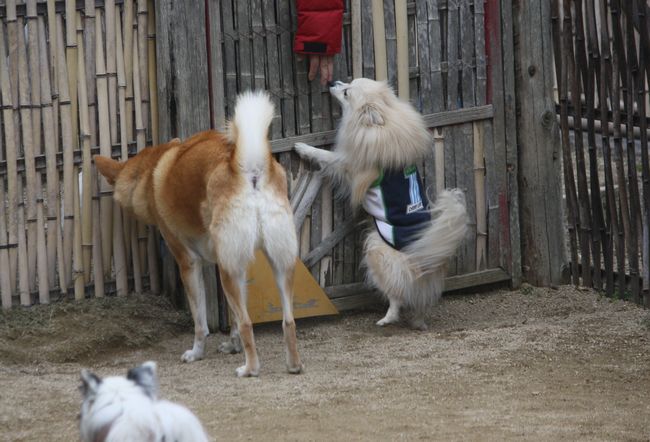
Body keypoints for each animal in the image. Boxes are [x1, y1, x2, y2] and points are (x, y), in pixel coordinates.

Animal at [94, 91, 302, 377]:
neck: (151, 170)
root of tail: (249, 167)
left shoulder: (189, 264)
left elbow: (201, 322)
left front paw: (196, 353)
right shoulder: (234, 265)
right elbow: (233, 319)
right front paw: (232, 345)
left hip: (229, 271)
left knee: (248, 323)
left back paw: (249, 369)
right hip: (277, 265)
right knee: (288, 321)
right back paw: (292, 365)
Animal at [295, 78, 468, 329]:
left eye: (346, 93)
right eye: (346, 81)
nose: (332, 81)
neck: (383, 122)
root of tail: (427, 260)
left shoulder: (349, 166)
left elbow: (326, 156)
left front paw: (302, 148)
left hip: (376, 251)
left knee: (397, 294)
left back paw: (387, 318)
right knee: (419, 304)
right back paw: (418, 322)